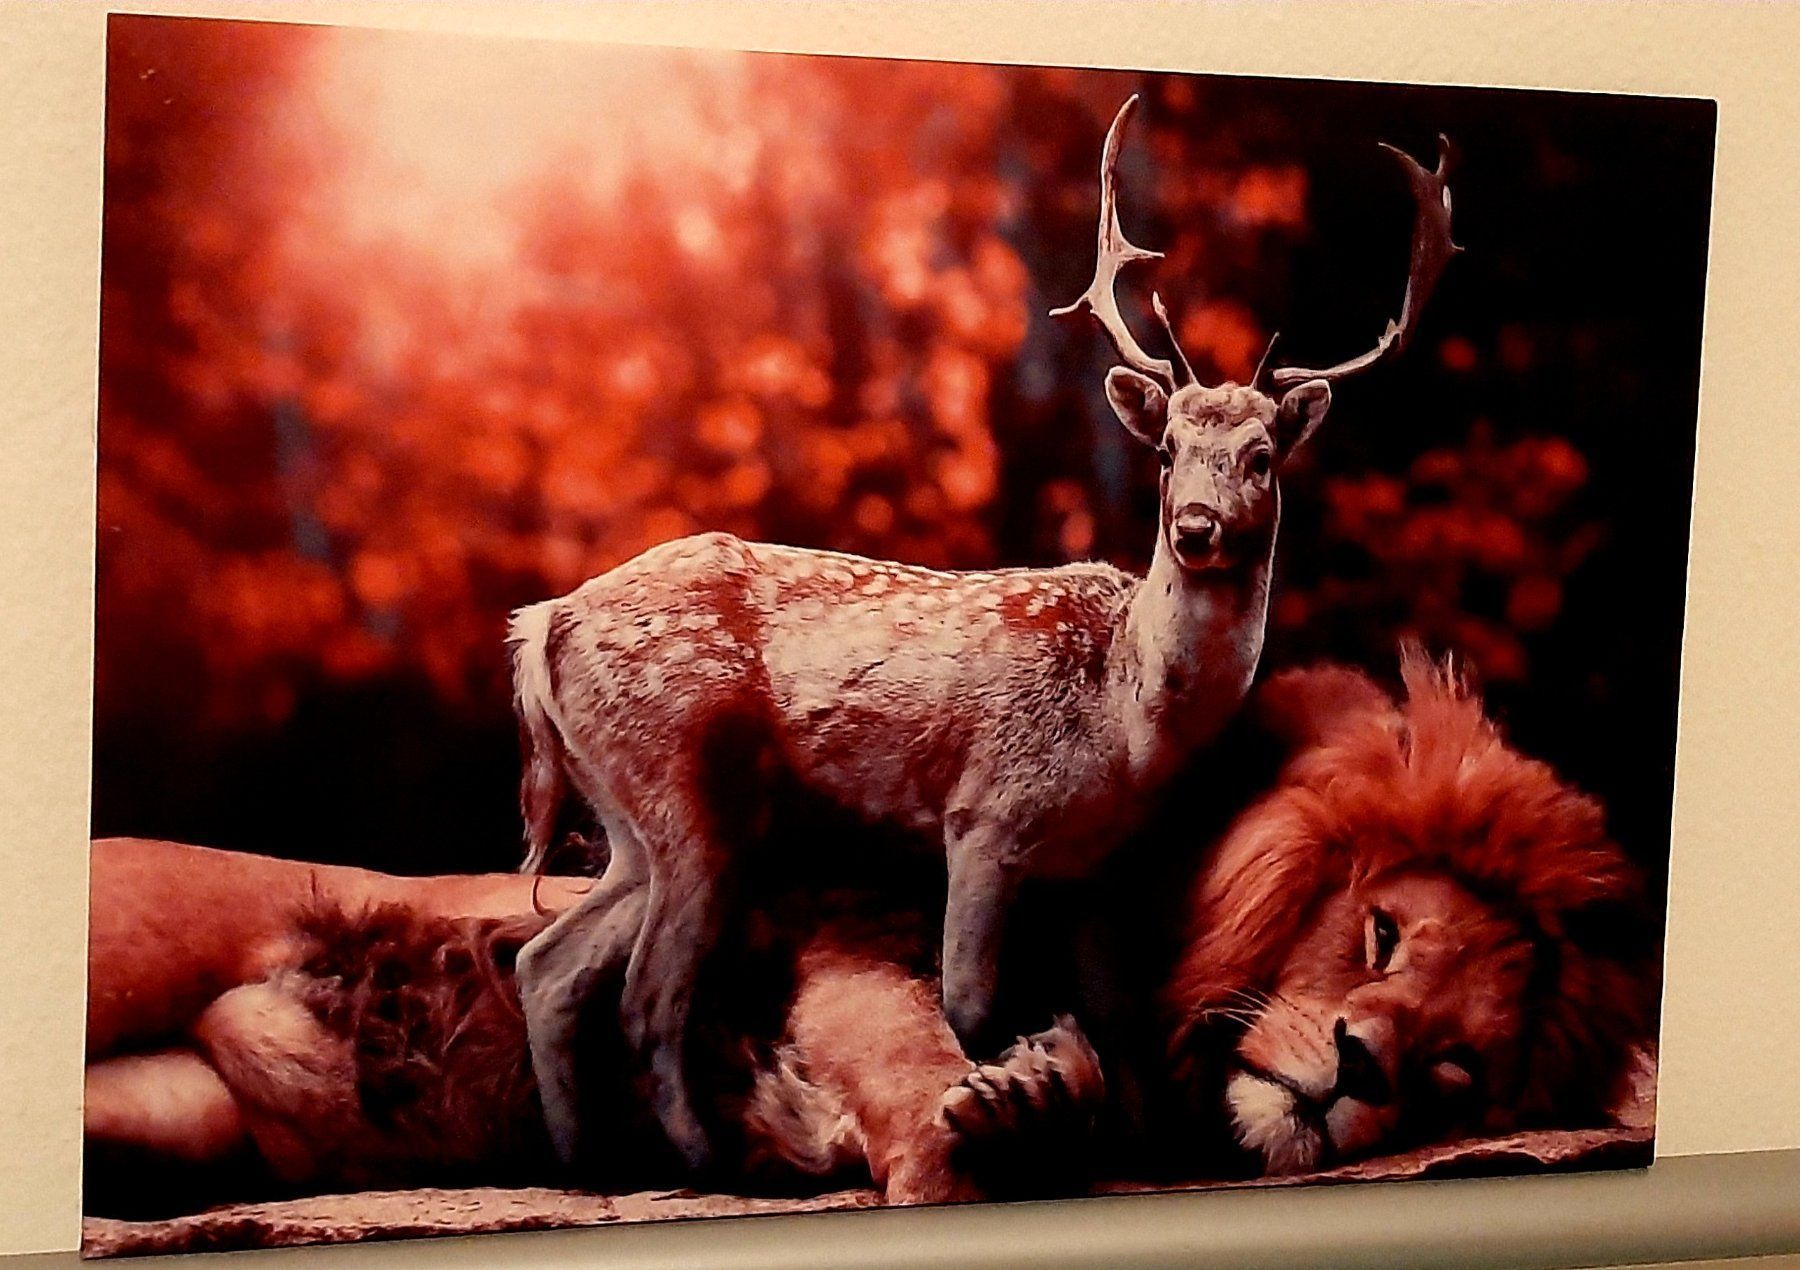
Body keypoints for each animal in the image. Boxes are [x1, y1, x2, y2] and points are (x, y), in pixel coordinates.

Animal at [508, 94, 1460, 1174]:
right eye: (1168, 450)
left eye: (1261, 455)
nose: (1196, 528)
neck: (1128, 718)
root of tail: (543, 624)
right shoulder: (985, 814)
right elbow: (969, 1002)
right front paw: (988, 1114)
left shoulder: (1093, 863)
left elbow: (1120, 1019)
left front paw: (1135, 1152)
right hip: (682, 785)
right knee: (647, 994)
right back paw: (711, 1167)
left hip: (629, 813)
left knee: (547, 960)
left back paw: (586, 1161)